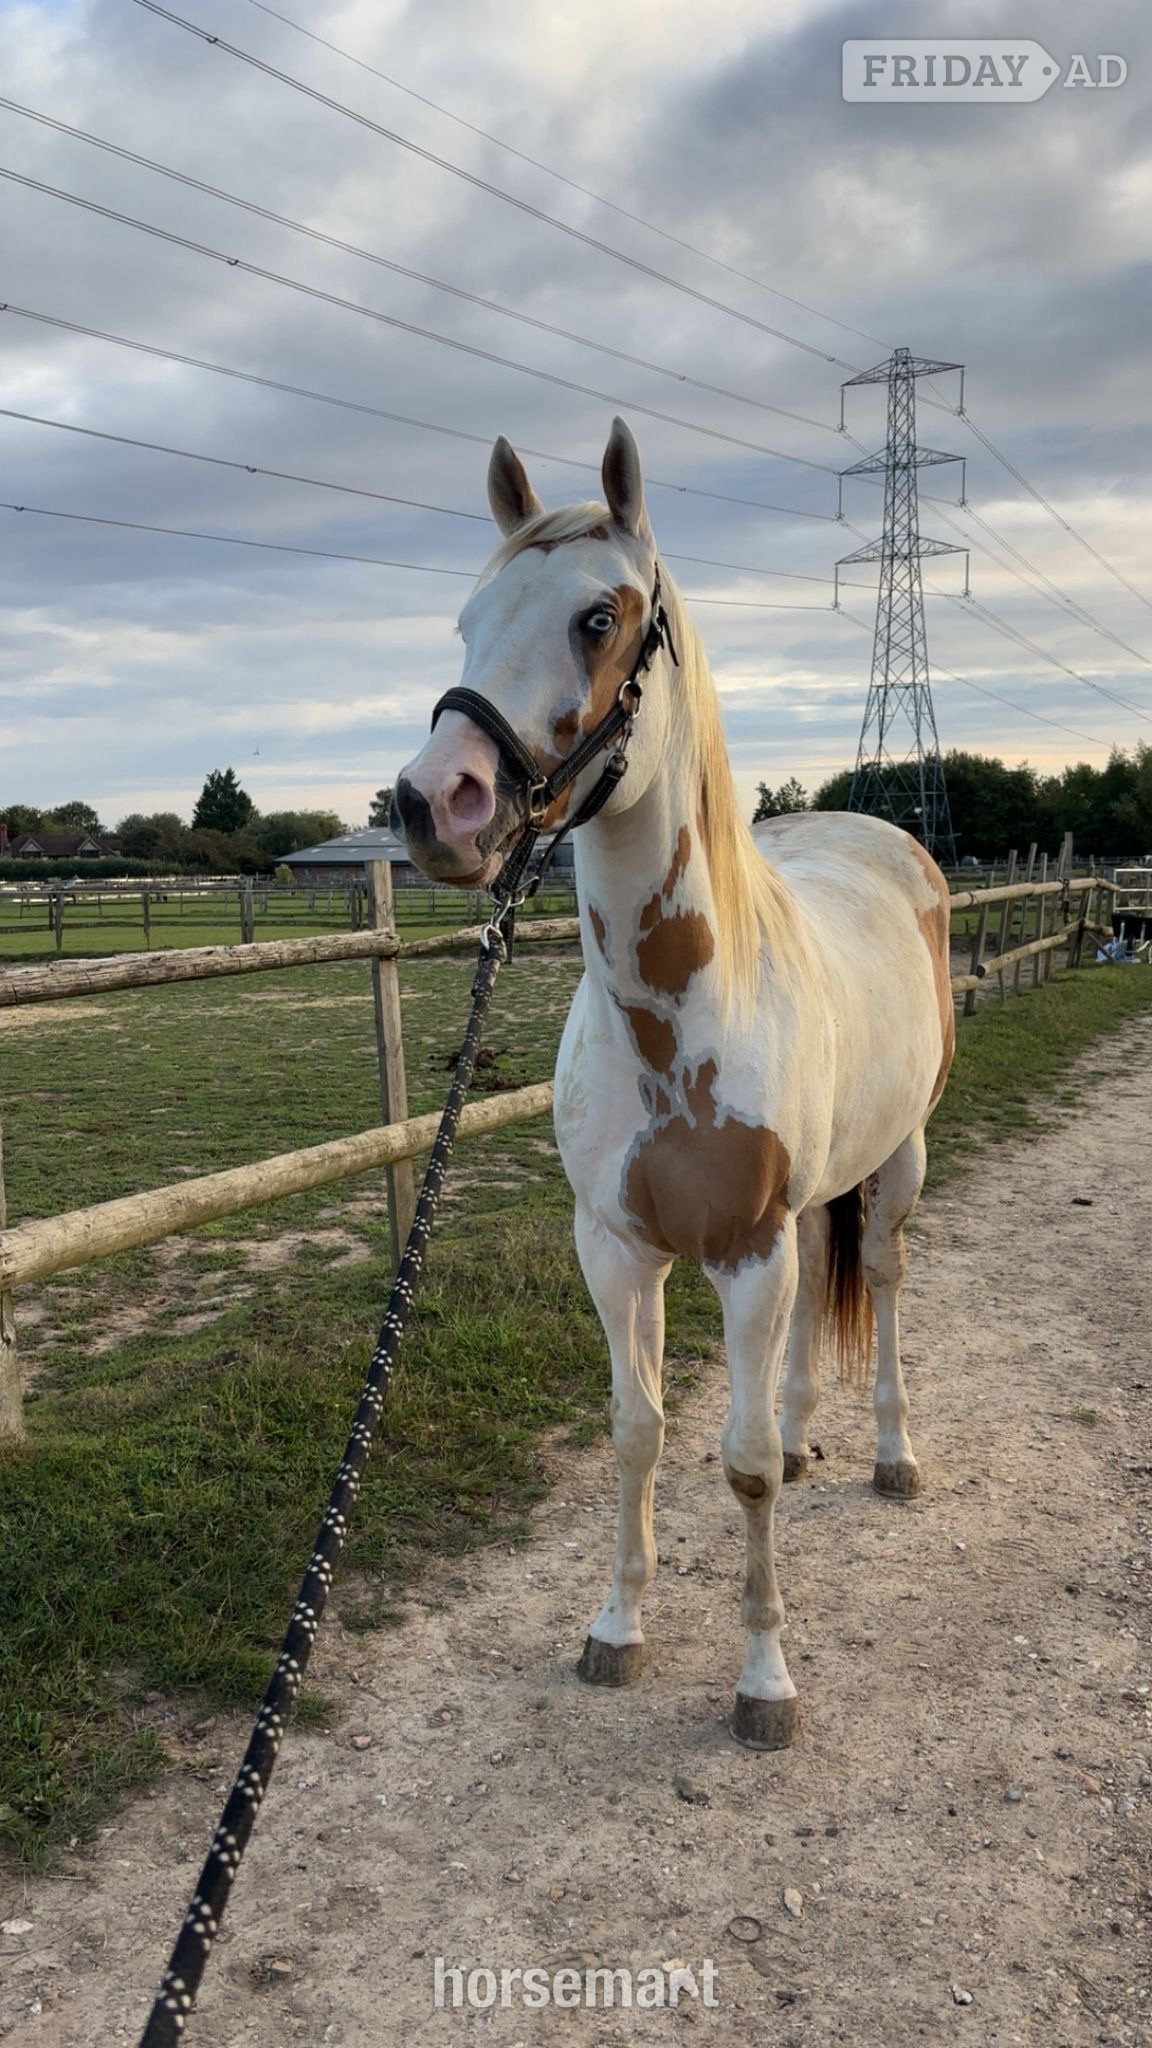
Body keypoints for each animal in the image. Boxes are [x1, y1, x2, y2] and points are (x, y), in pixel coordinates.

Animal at [393, 417, 955, 1750]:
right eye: (467, 618)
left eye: (601, 615)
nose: (436, 802)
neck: (678, 1018)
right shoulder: (617, 1246)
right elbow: (638, 1430)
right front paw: (617, 1626)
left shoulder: (746, 1250)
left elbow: (733, 1463)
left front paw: (763, 1681)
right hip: (812, 1202)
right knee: (804, 1334)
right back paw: (807, 1439)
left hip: (898, 1162)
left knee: (885, 1282)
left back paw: (892, 1453)